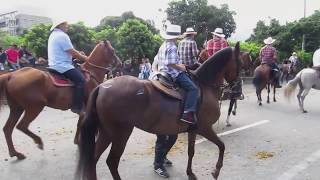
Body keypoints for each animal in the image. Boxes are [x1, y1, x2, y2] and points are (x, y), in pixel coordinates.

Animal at [75, 42, 240, 180]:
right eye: (240, 62)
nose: (236, 88)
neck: (204, 86)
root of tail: (102, 87)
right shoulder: (205, 128)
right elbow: (221, 146)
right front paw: (216, 171)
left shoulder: (193, 129)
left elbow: (191, 151)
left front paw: (190, 173)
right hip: (120, 133)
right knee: (112, 161)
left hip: (106, 132)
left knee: (93, 158)